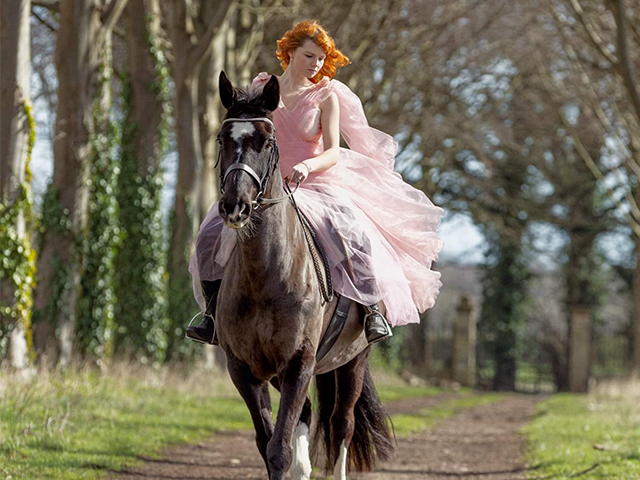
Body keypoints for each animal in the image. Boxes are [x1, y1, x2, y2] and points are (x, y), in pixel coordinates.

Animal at [214, 71, 396, 480]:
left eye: (267, 142)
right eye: (221, 139)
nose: (235, 205)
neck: (264, 275)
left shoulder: (299, 362)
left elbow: (279, 449)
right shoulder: (244, 370)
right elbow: (268, 445)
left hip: (352, 360)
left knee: (342, 422)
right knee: (309, 416)